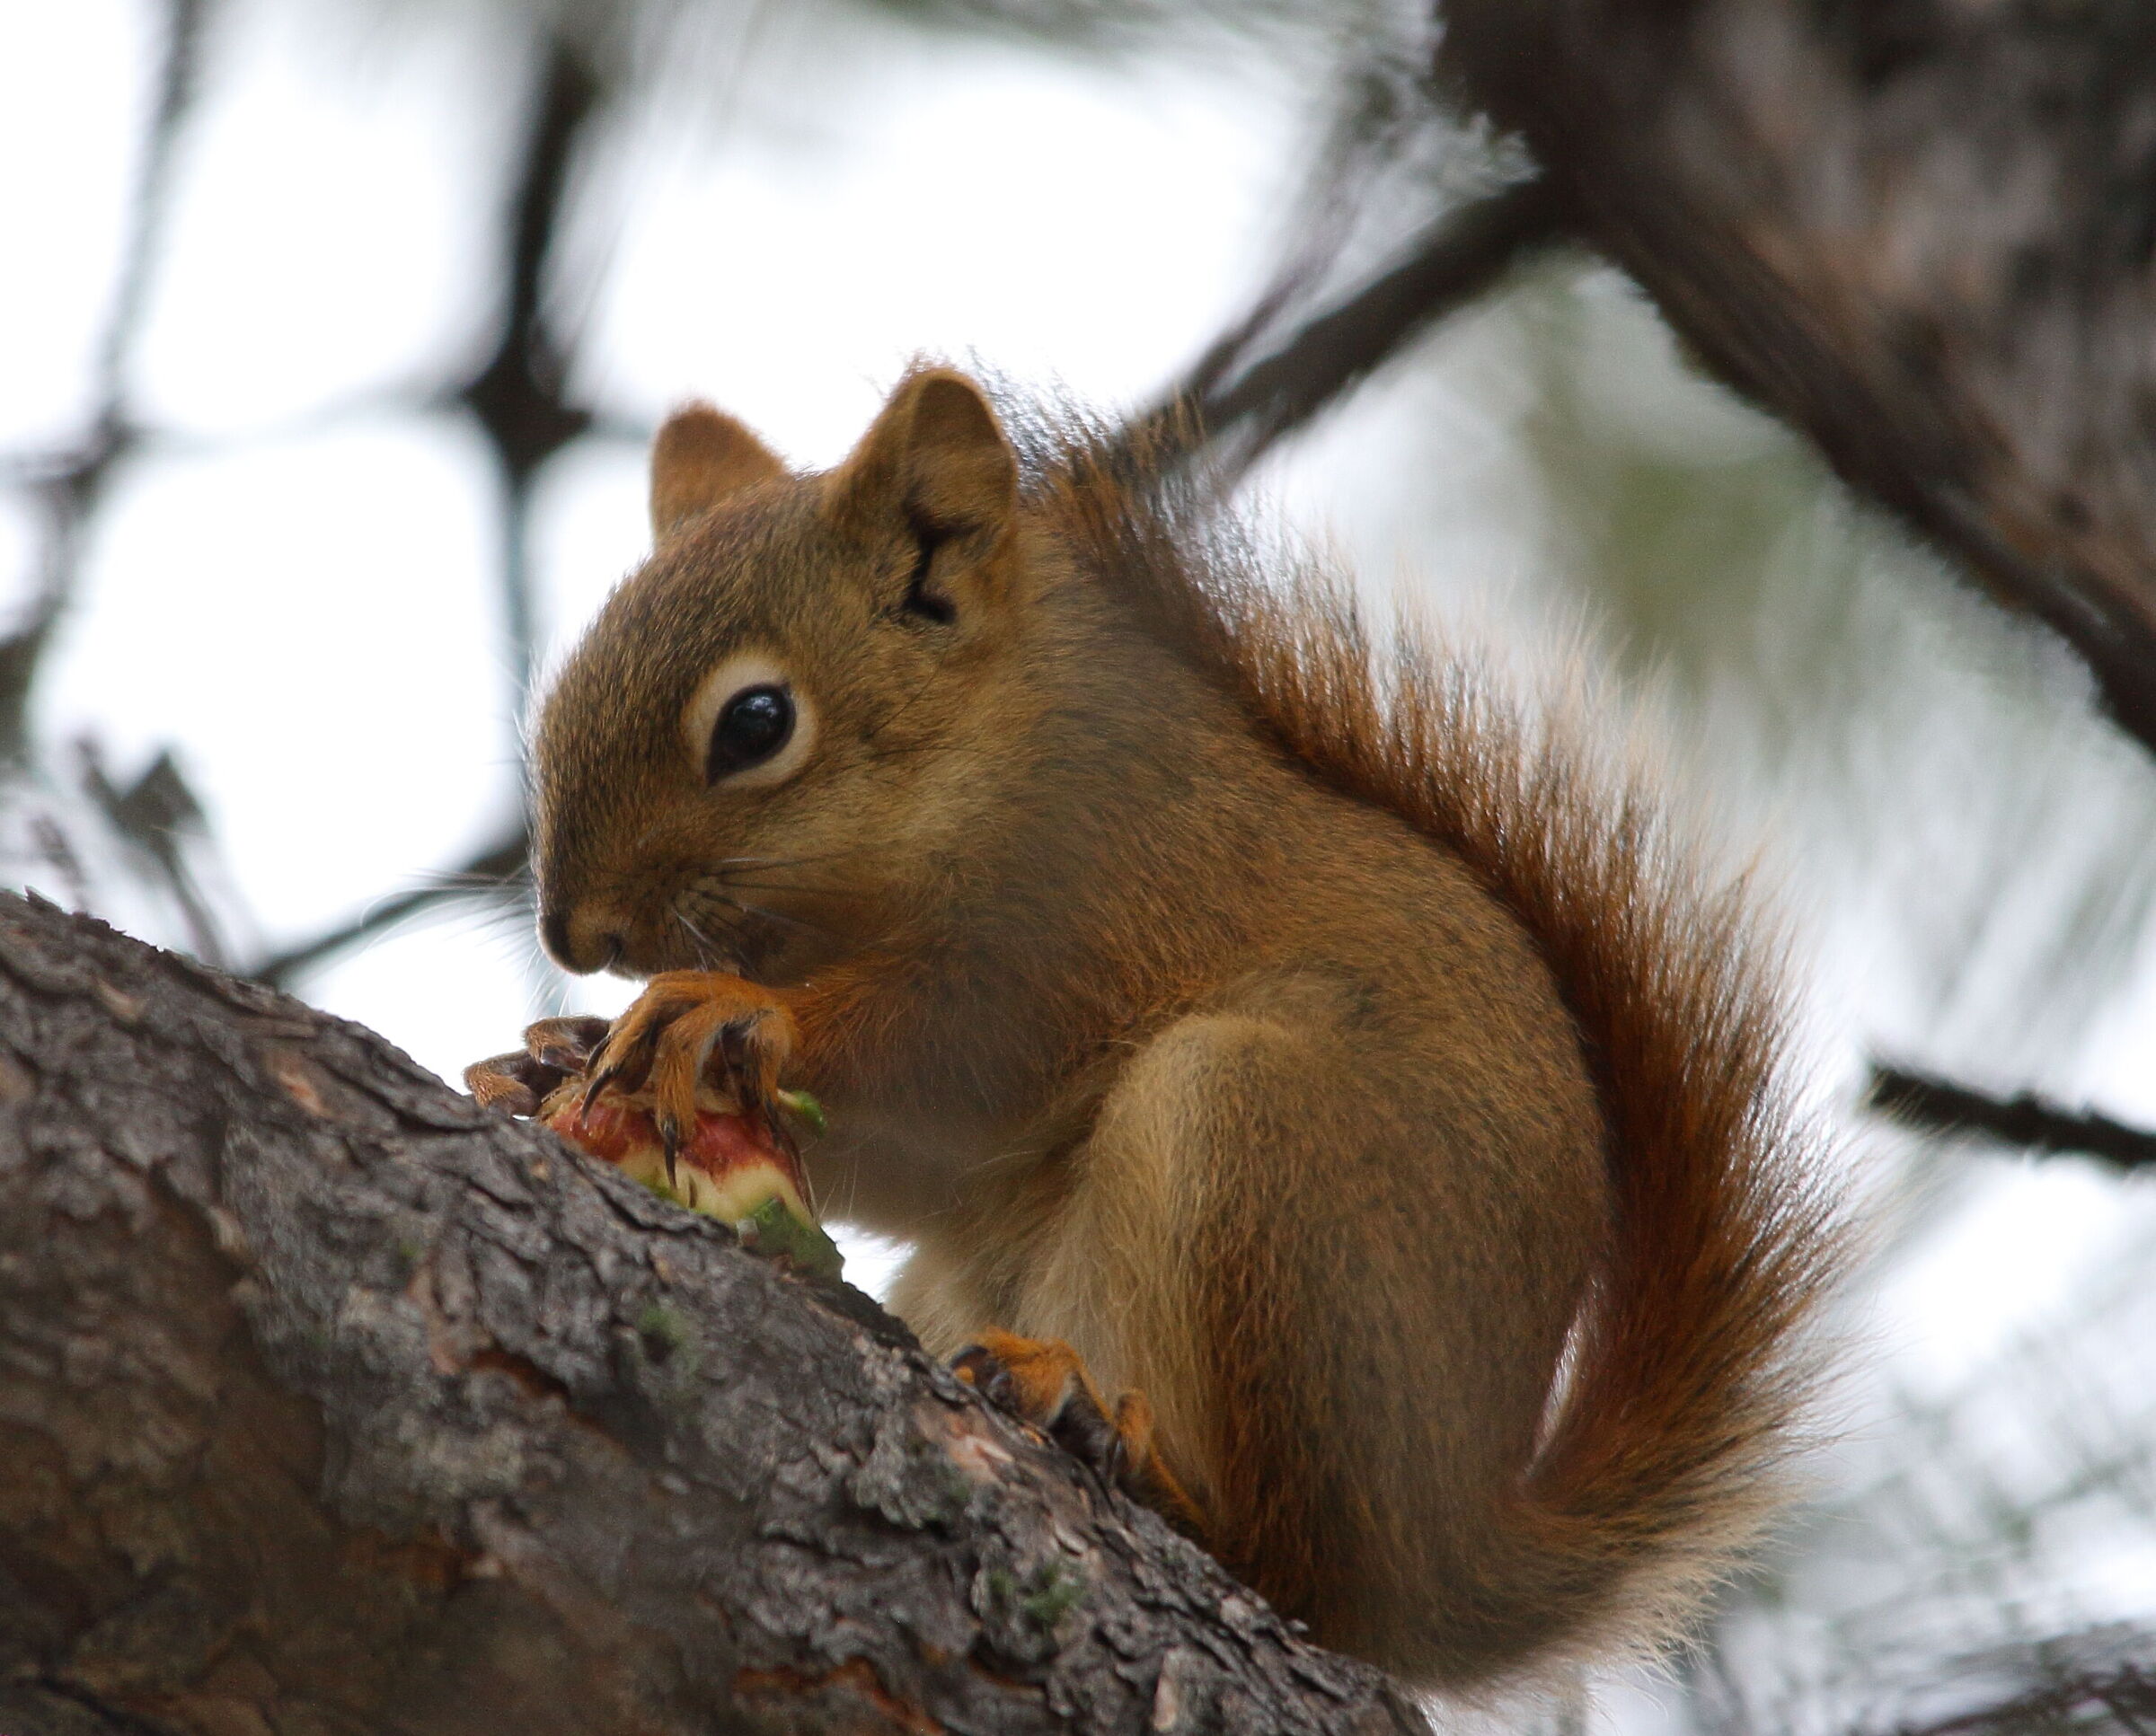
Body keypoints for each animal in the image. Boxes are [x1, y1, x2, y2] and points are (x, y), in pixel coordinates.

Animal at [476, 365, 1839, 1692]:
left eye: (756, 723)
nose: (574, 931)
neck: (980, 762)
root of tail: (1444, 1559)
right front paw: (551, 1057)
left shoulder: (1092, 912)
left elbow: (939, 1053)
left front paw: (732, 1010)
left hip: (1257, 1166)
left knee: (1287, 1558)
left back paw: (1116, 1438)